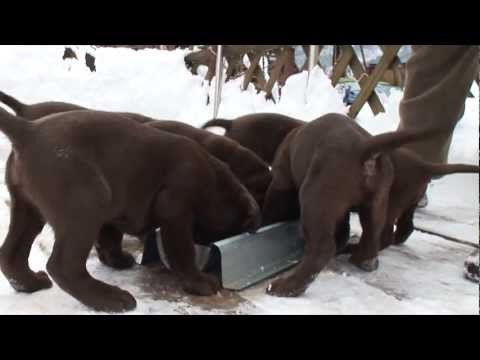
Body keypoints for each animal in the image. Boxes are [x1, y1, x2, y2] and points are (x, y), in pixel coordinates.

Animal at [0, 107, 260, 312]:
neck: (214, 182)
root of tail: (28, 131)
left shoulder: (116, 208)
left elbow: (110, 237)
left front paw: (116, 260)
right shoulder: (176, 214)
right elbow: (182, 252)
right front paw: (199, 281)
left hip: (28, 208)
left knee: (11, 253)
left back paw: (30, 283)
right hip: (87, 202)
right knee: (64, 266)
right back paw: (110, 298)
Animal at [264, 114, 478, 296]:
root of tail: (362, 147)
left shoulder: (281, 180)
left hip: (315, 197)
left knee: (324, 248)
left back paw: (287, 286)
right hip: (378, 203)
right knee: (380, 235)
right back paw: (362, 257)